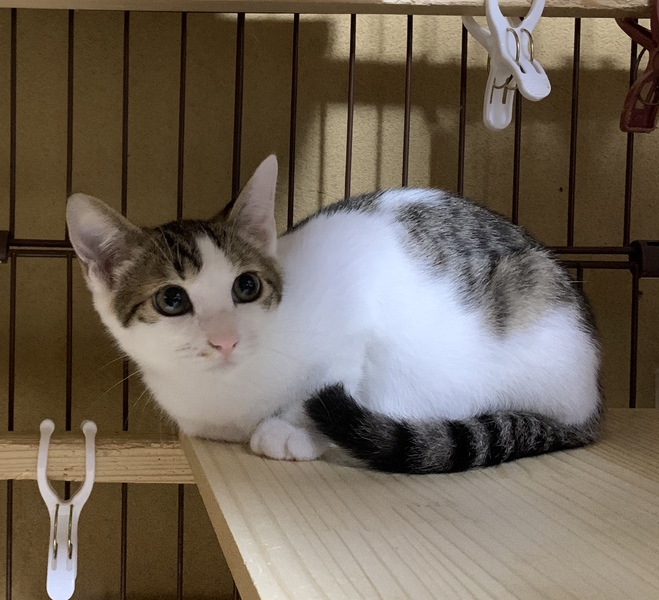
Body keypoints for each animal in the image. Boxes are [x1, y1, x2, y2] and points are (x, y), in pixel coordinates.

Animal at [66, 155, 602, 474]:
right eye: (172, 301)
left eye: (247, 287)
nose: (225, 339)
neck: (229, 395)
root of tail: (594, 403)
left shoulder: (358, 309)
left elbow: (338, 376)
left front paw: (294, 429)